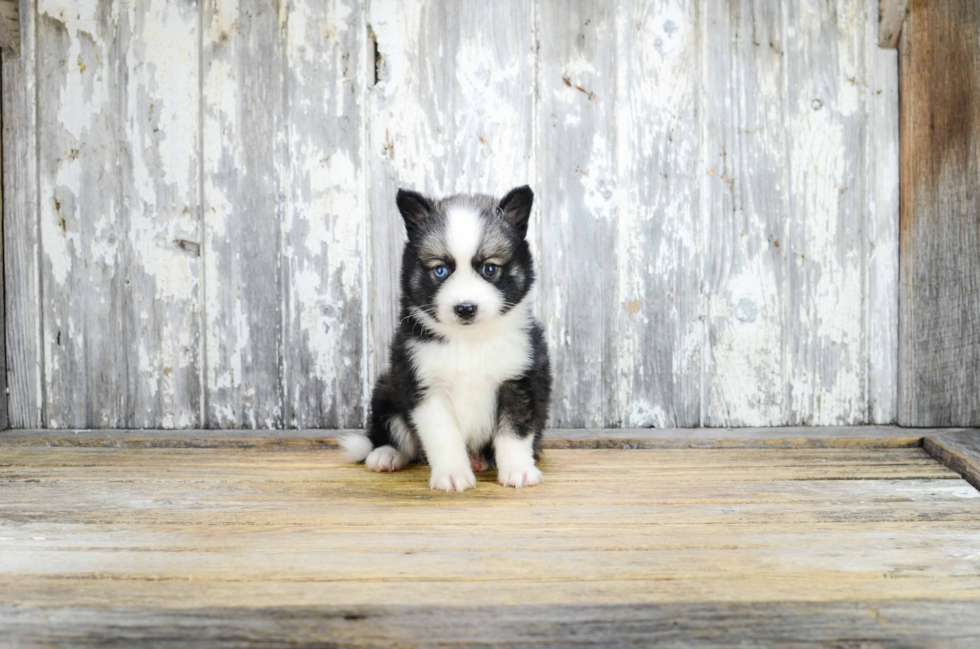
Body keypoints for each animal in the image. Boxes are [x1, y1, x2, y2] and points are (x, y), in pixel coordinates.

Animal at [340, 187, 548, 492]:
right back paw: (386, 454)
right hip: (386, 390)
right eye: (441, 270)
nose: (465, 308)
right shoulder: (424, 386)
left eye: (489, 269)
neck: (469, 340)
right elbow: (443, 435)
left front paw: (518, 470)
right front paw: (452, 474)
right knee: (395, 435)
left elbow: (514, 432)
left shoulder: (519, 381)